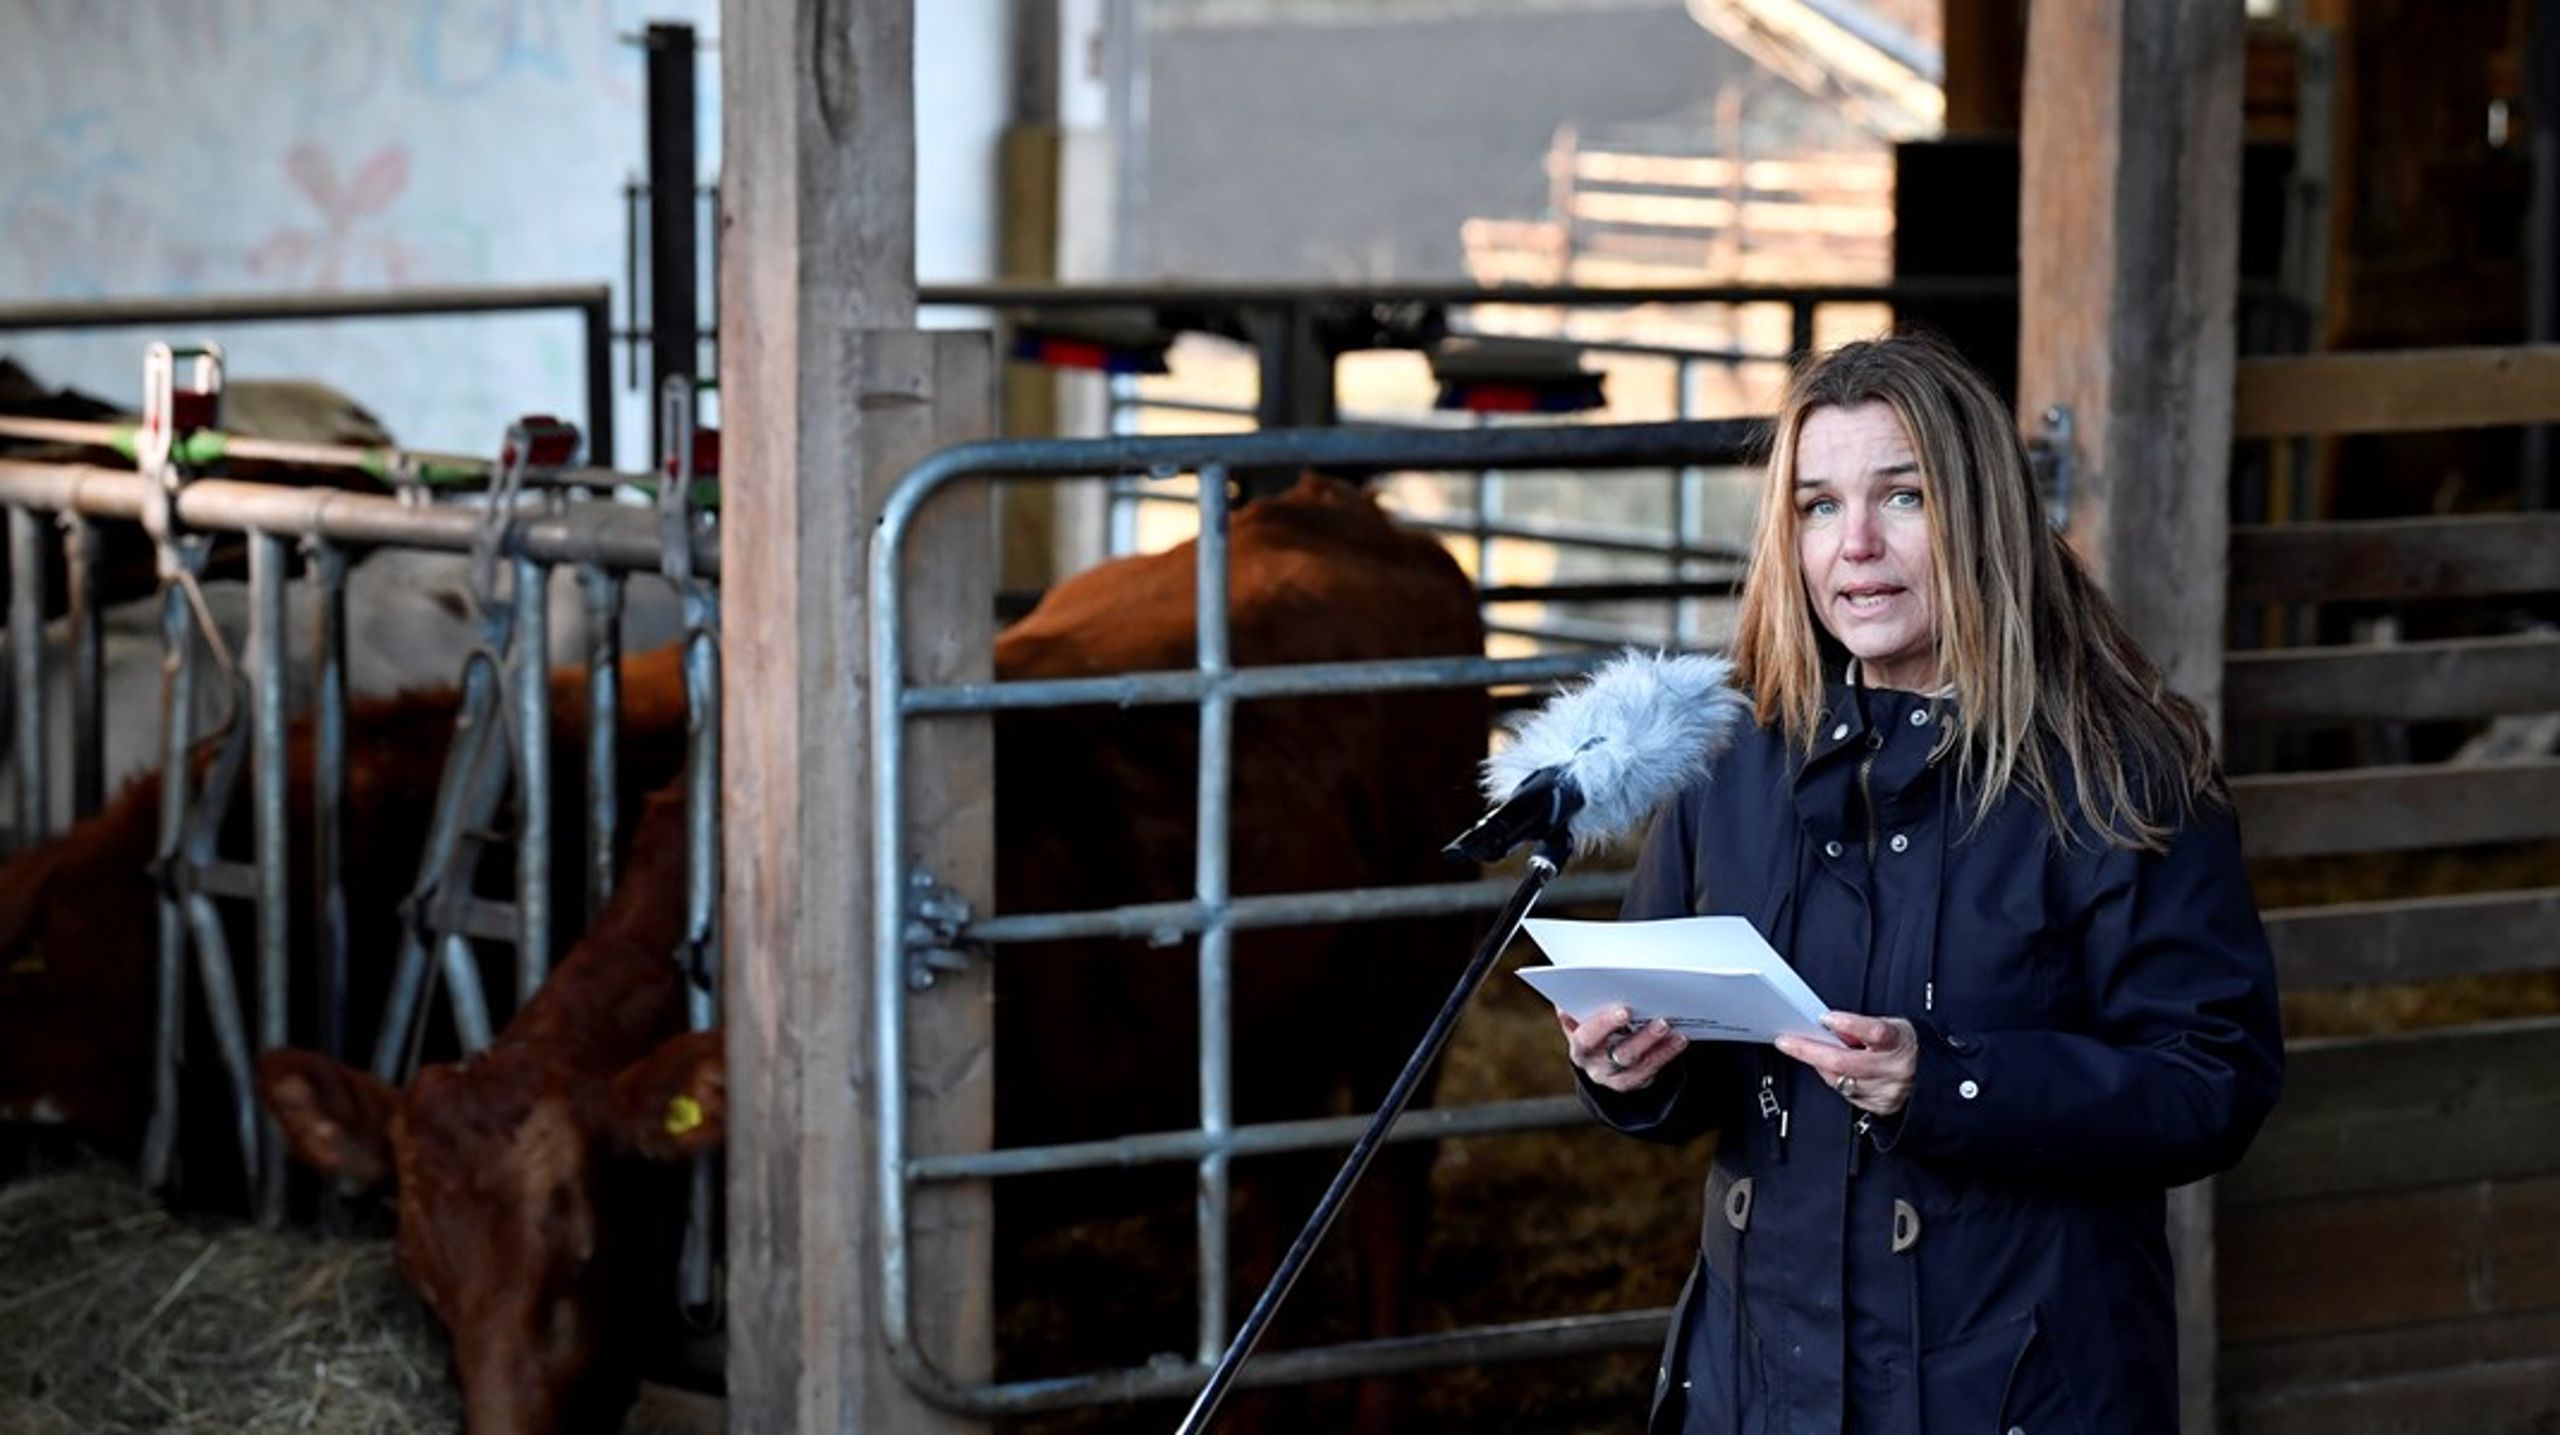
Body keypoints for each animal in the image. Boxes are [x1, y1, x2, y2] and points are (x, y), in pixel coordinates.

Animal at [254, 475, 1484, 1422]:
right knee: (1269, 1199)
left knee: (1389, 1194)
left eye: (588, 1252)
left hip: (1414, 986)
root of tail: (1342, 508)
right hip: (1264, 1035)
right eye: (421, 1276)